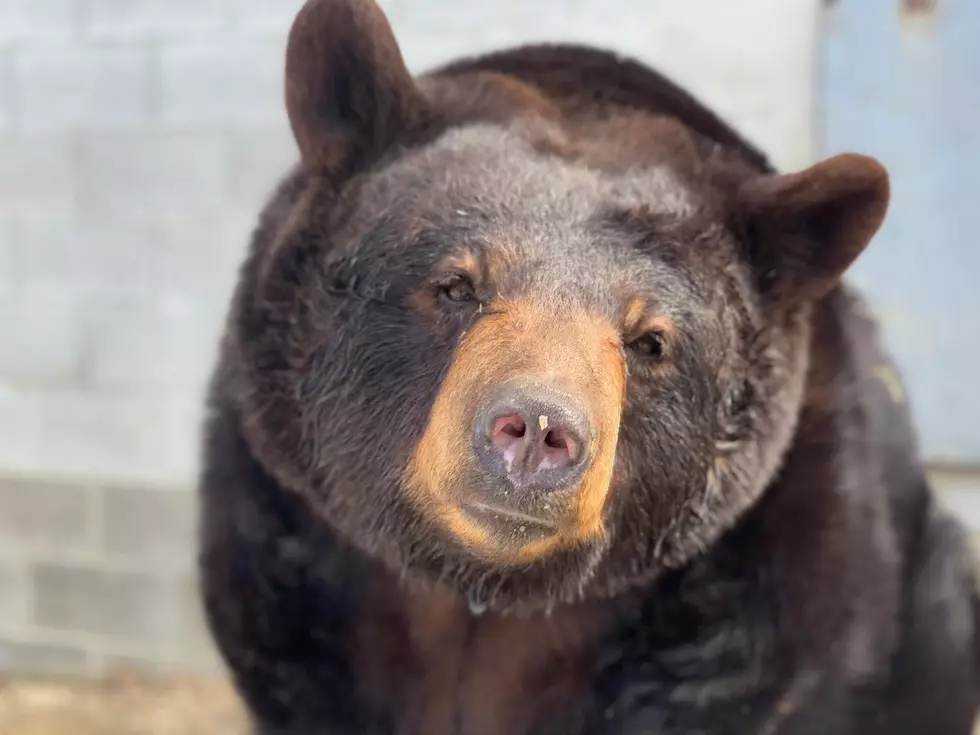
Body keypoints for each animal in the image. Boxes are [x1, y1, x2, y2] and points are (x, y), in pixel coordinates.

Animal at [196, 0, 980, 733]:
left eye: (651, 340)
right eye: (455, 285)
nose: (538, 428)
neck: (487, 603)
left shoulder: (769, 601)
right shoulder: (286, 561)